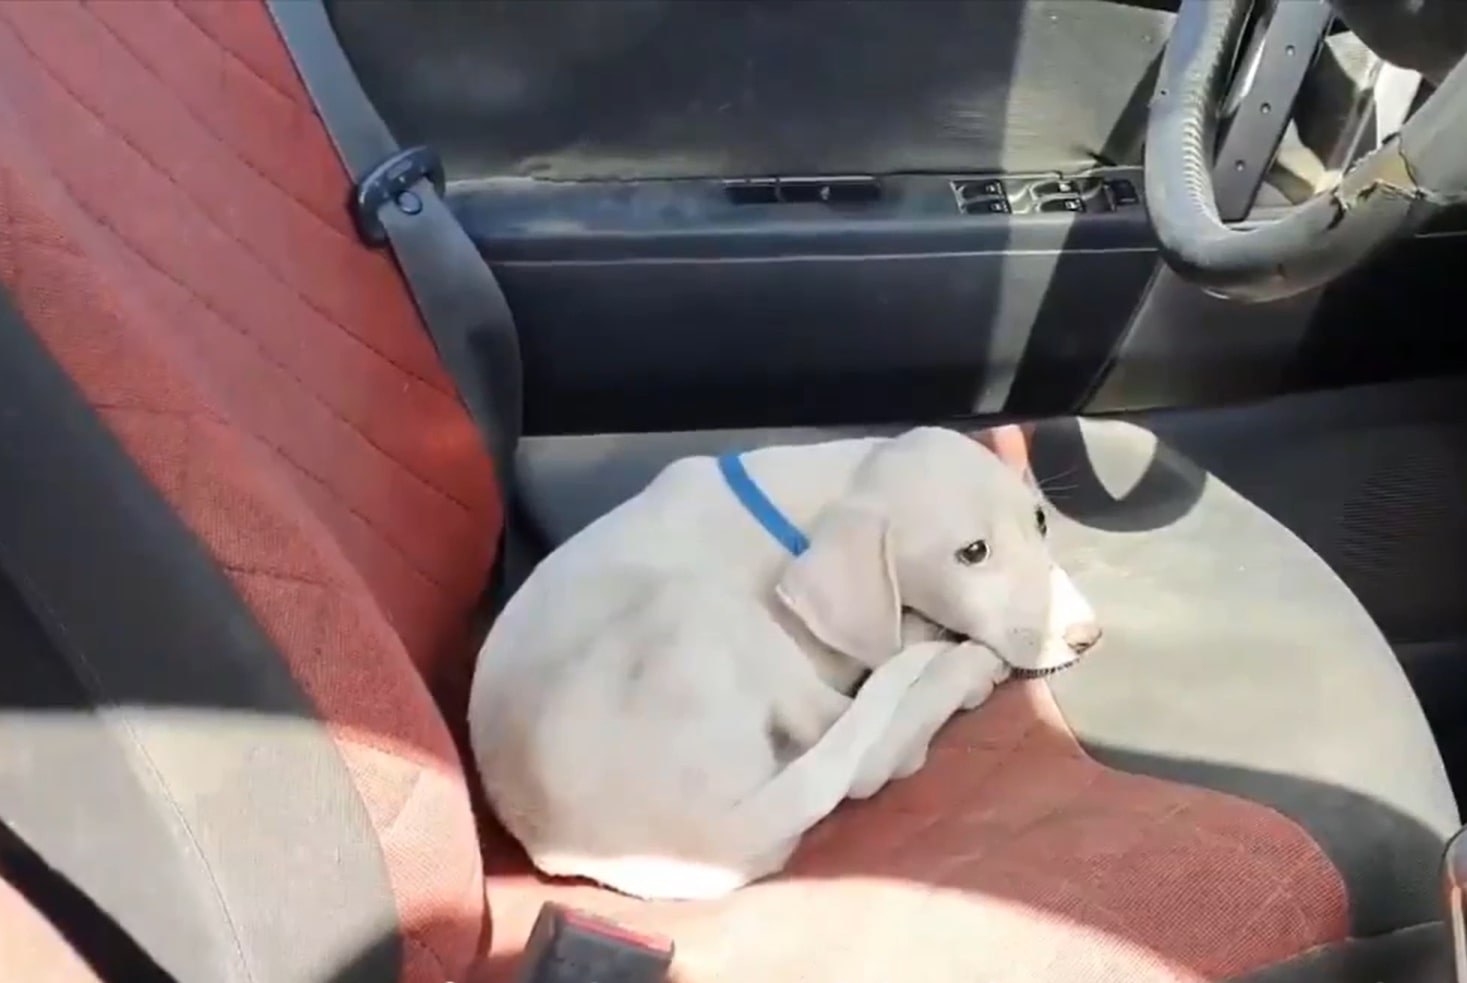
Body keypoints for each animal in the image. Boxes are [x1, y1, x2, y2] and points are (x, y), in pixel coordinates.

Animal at [463, 428, 1097, 903]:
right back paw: (962, 667)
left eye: (1041, 522)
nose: (1089, 637)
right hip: (702, 605)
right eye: (973, 552)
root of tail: (695, 834)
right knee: (870, 754)